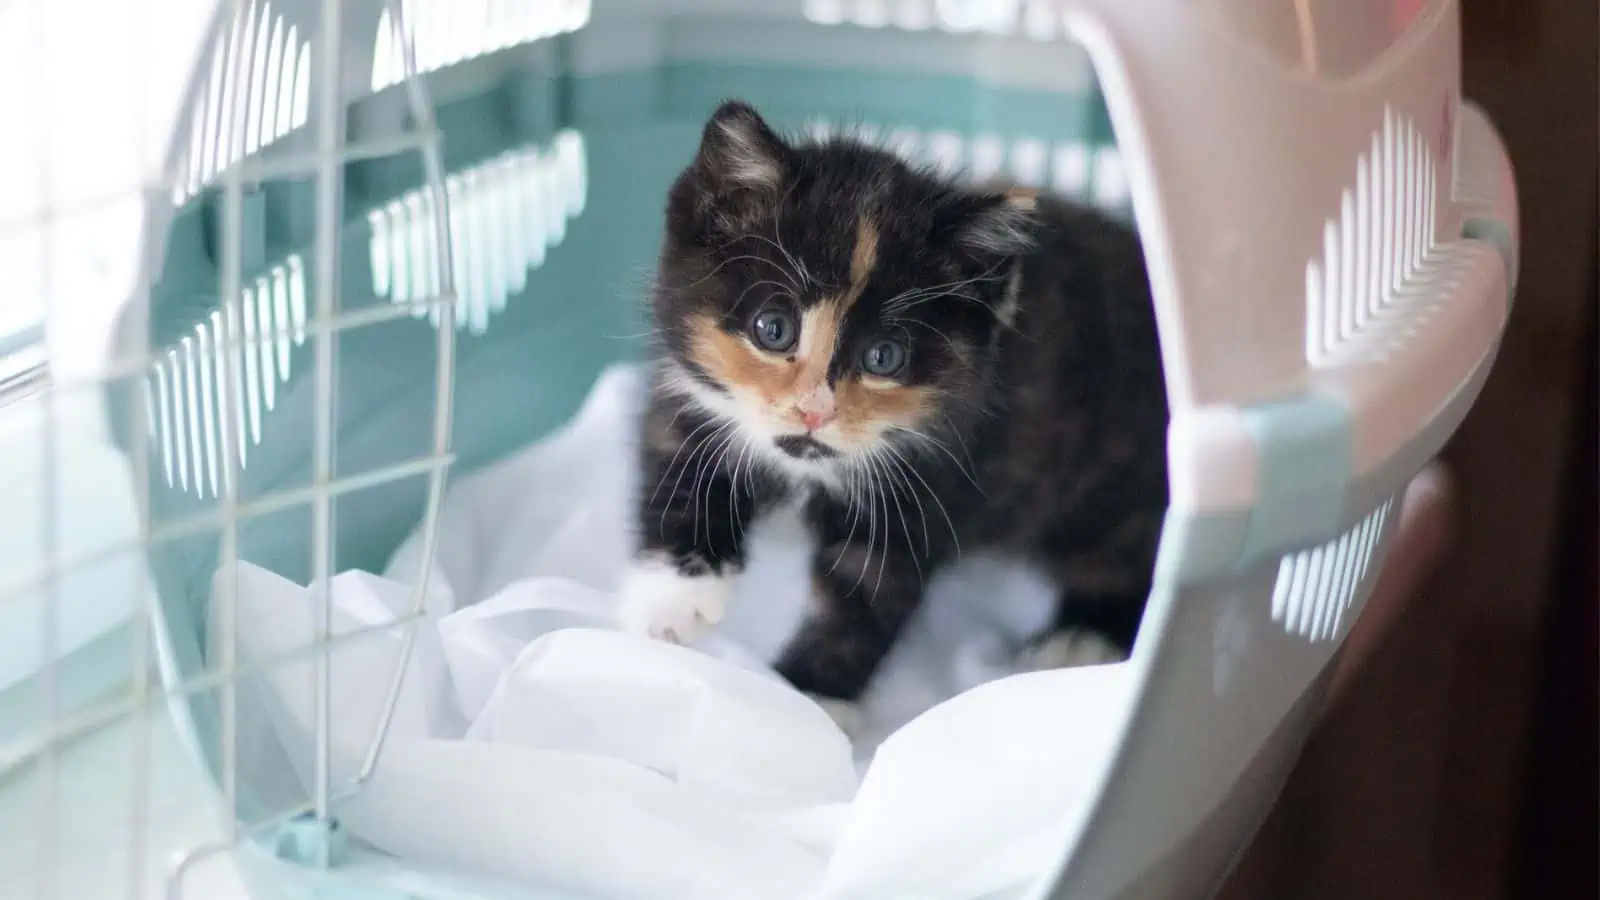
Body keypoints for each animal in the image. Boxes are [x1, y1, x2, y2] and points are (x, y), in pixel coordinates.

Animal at [620, 101, 1164, 698]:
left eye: (884, 357)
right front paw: (671, 600)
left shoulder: (930, 483)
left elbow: (865, 598)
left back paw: (1083, 636)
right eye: (773, 329)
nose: (815, 410)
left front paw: (812, 698)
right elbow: (682, 472)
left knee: (1131, 550)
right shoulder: (689, 398)